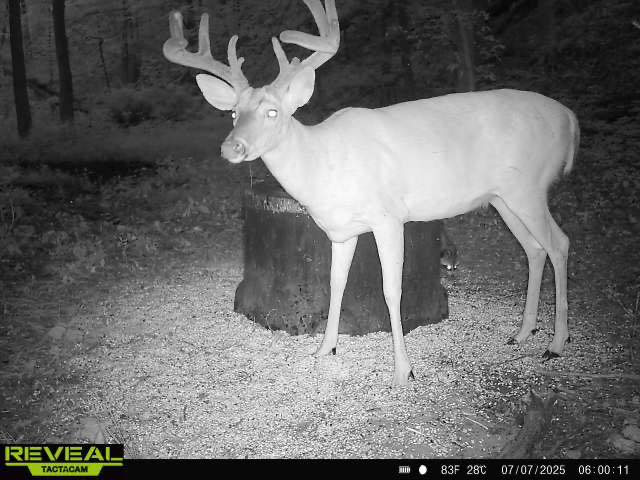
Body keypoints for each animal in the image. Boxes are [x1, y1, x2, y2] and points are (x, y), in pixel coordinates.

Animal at [163, 0, 579, 386]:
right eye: (233, 113)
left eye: (272, 112)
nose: (231, 147)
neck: (324, 168)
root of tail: (570, 118)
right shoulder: (342, 231)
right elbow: (335, 283)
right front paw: (324, 349)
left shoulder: (389, 217)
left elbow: (391, 290)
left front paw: (403, 371)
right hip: (502, 198)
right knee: (534, 249)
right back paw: (523, 332)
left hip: (528, 187)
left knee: (559, 242)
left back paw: (557, 343)